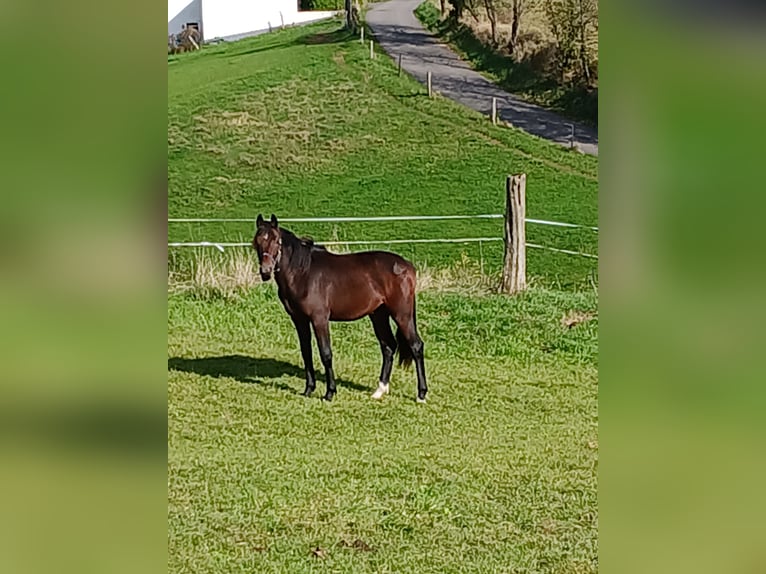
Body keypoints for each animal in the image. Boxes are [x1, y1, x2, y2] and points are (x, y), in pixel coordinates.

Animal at [255, 214, 428, 402]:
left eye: (276, 240)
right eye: (257, 240)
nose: (265, 271)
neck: (303, 273)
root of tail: (408, 266)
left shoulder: (319, 319)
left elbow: (326, 353)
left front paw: (329, 392)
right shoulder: (299, 319)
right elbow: (306, 352)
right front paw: (308, 390)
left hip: (402, 314)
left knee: (416, 346)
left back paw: (421, 394)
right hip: (378, 314)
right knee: (388, 346)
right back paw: (379, 390)